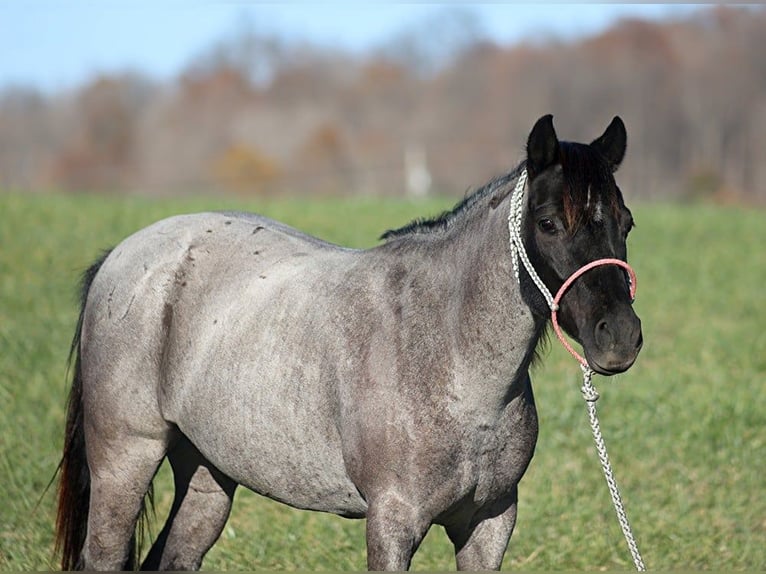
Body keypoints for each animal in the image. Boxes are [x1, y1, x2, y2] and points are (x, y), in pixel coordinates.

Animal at [52, 113, 640, 572]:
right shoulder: (392, 522)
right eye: (548, 223)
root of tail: (122, 254)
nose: (620, 338)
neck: (451, 361)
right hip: (125, 460)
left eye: (626, 222)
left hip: (207, 476)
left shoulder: (490, 522)